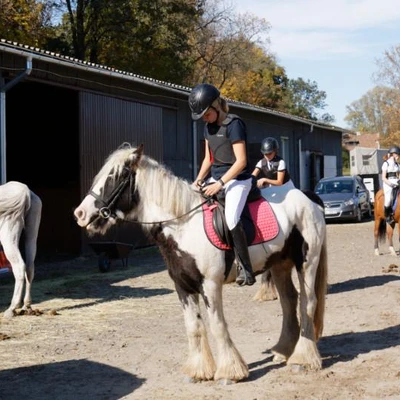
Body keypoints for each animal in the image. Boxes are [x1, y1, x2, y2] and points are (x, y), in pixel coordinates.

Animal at [74, 144, 328, 384]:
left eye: (117, 176)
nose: (80, 213)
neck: (184, 225)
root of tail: (308, 197)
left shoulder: (210, 285)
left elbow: (217, 325)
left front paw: (229, 372)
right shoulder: (182, 286)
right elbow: (193, 327)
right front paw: (199, 371)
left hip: (307, 262)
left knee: (307, 302)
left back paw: (302, 360)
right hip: (279, 265)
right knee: (289, 301)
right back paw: (283, 351)